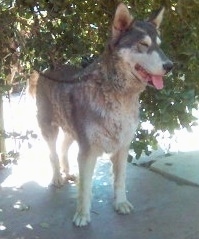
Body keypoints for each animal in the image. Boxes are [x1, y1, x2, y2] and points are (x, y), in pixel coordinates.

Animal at [28, 3, 173, 226]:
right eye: (143, 44)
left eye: (159, 45)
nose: (171, 66)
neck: (117, 93)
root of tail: (48, 69)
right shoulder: (87, 151)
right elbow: (86, 187)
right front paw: (82, 214)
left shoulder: (122, 147)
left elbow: (120, 180)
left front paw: (120, 203)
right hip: (49, 129)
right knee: (53, 153)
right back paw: (58, 177)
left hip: (72, 132)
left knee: (63, 149)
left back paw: (68, 172)